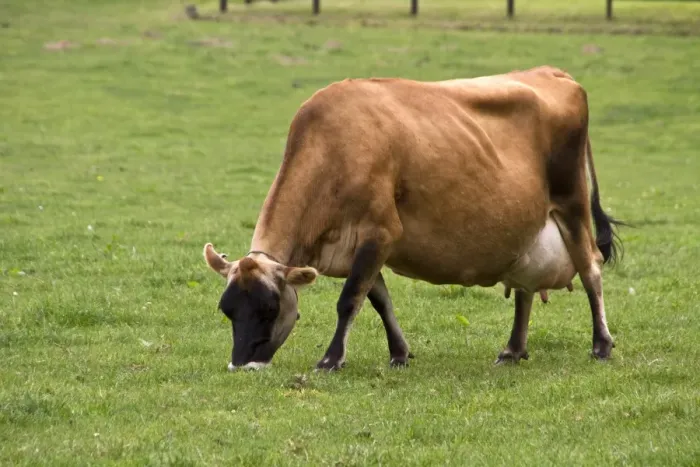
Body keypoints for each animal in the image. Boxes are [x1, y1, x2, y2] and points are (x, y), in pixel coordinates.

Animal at [202, 65, 623, 371]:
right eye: (227, 310)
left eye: (270, 308)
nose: (241, 365)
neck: (333, 146)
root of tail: (554, 73)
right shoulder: (362, 245)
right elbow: (379, 300)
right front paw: (400, 353)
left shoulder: (381, 232)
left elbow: (349, 299)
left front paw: (331, 359)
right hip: (526, 225)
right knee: (525, 284)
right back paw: (513, 349)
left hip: (572, 202)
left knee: (590, 268)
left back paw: (601, 344)